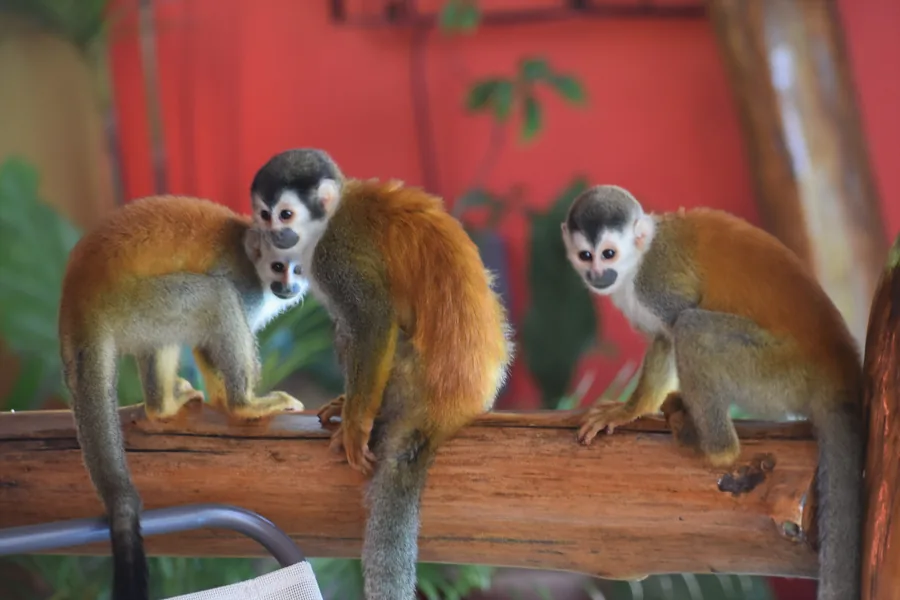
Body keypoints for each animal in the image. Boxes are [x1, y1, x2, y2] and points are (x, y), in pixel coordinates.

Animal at [58, 195, 308, 600]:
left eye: (299, 268)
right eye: (277, 267)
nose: (289, 286)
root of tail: (76, 300)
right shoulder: (246, 285)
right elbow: (212, 334)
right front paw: (234, 404)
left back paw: (160, 408)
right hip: (131, 303)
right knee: (215, 297)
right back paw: (244, 405)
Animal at [250, 151, 514, 600]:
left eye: (286, 214)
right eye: (266, 215)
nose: (276, 233)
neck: (327, 220)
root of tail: (446, 408)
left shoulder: (334, 253)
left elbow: (373, 319)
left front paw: (356, 424)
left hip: (405, 379)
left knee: (353, 328)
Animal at [560, 185, 864, 600]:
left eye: (608, 254)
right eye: (585, 255)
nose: (597, 274)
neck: (637, 262)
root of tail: (839, 370)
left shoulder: (657, 283)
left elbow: (674, 324)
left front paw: (631, 410)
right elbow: (661, 338)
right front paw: (631, 411)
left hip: (777, 372)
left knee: (692, 328)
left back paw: (712, 448)